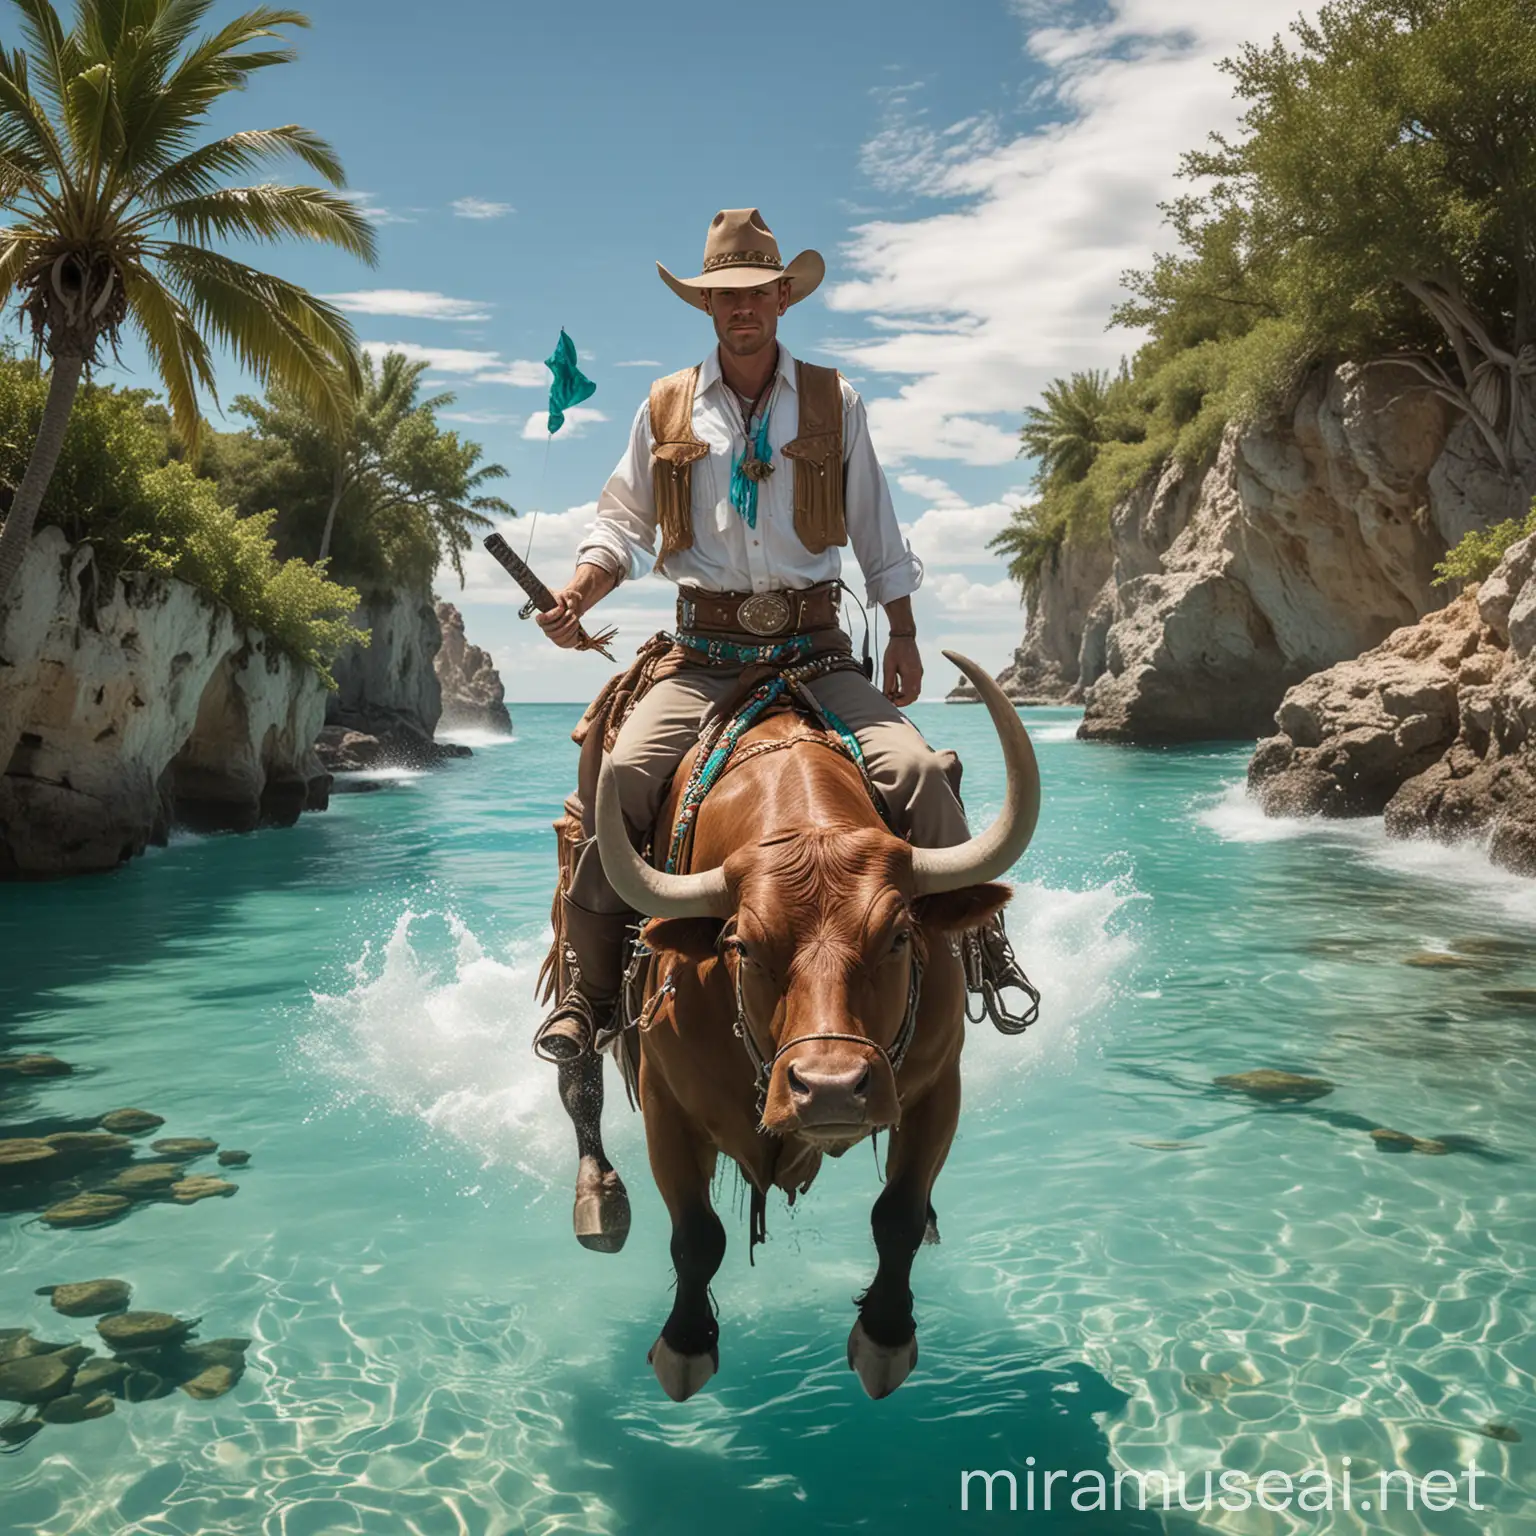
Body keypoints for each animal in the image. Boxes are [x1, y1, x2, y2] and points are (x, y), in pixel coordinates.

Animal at [592, 648, 1038, 1406]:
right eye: (741, 945)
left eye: (898, 936)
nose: (830, 1090)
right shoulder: (665, 1103)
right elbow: (696, 1234)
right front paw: (685, 1346)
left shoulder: (936, 1088)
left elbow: (899, 1214)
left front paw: (885, 1338)